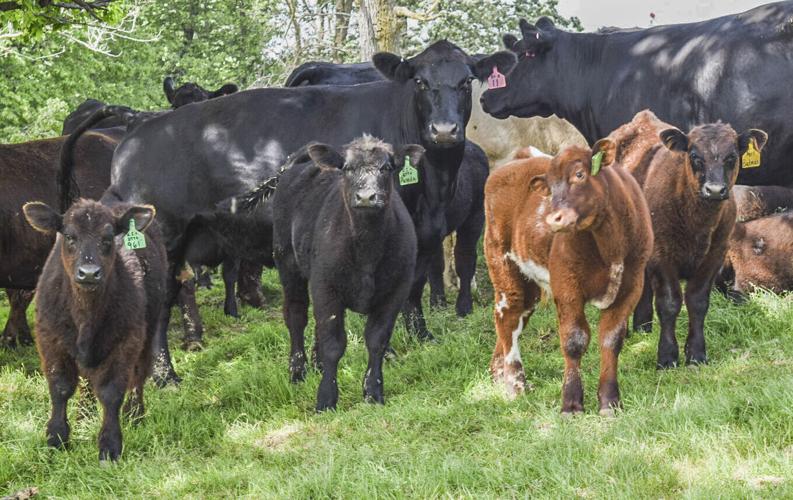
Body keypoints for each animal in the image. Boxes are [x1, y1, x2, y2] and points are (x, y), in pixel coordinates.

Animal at [22, 199, 167, 462]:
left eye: (108, 238)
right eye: (70, 236)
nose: (89, 273)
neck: (85, 318)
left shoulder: (127, 340)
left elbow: (111, 392)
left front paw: (110, 446)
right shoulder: (50, 339)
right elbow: (60, 387)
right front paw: (56, 439)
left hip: (149, 327)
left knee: (138, 374)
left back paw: (135, 413)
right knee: (87, 381)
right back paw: (83, 414)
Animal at [273, 136, 421, 411]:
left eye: (387, 168)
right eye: (348, 168)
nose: (366, 197)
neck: (367, 251)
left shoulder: (396, 291)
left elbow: (377, 340)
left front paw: (373, 392)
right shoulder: (326, 288)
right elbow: (334, 344)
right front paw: (326, 399)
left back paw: (317, 365)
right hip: (287, 265)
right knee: (296, 316)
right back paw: (298, 371)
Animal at [484, 141, 653, 414]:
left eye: (580, 174)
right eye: (550, 188)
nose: (554, 218)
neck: (611, 246)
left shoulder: (631, 285)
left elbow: (611, 339)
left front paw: (610, 402)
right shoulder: (567, 285)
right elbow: (574, 340)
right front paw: (571, 404)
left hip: (529, 284)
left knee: (516, 320)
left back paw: (500, 376)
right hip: (503, 264)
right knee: (507, 318)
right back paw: (515, 385)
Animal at [614, 111, 768, 367]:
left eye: (732, 157)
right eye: (695, 156)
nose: (714, 190)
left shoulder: (714, 256)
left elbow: (697, 302)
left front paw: (696, 353)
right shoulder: (662, 255)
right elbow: (669, 303)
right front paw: (667, 356)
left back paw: (643, 326)